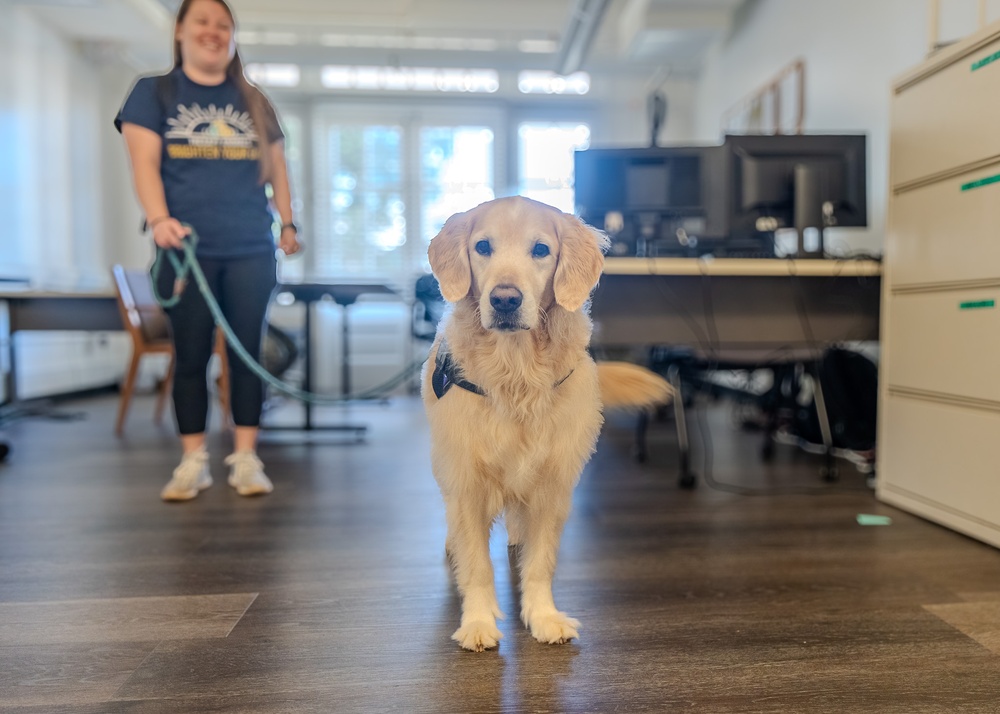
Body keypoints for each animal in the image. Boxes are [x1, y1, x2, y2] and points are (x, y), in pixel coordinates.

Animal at [422, 196, 672, 652]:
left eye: (540, 250)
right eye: (482, 247)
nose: (504, 299)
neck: (516, 373)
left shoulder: (551, 484)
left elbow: (540, 564)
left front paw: (543, 616)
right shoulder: (466, 483)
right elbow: (477, 564)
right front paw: (479, 622)